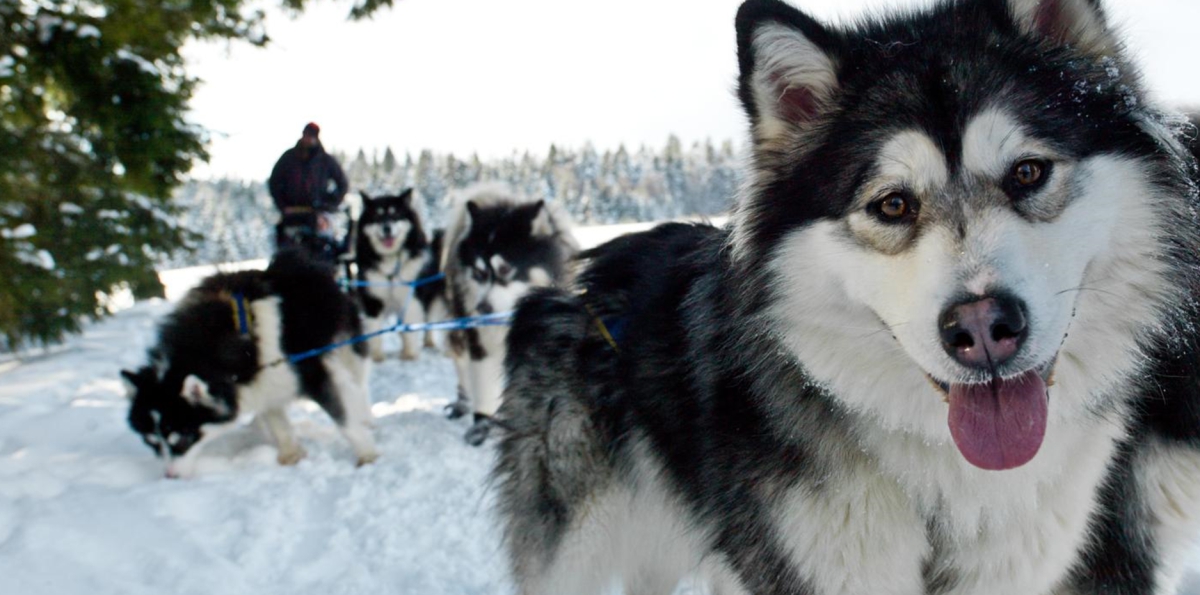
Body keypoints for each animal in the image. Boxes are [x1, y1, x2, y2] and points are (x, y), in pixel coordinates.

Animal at [124, 250, 376, 479]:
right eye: (152, 443)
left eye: (182, 440)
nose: (170, 475)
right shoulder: (262, 382)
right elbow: (276, 420)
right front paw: (290, 453)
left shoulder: (315, 374)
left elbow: (344, 420)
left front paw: (367, 453)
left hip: (347, 351)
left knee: (359, 384)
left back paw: (366, 418)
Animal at [357, 188, 451, 359]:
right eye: (377, 216)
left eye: (395, 214)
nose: (386, 228)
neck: (391, 267)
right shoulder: (373, 298)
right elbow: (374, 328)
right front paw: (376, 356)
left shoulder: (412, 297)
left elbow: (411, 326)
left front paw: (410, 354)